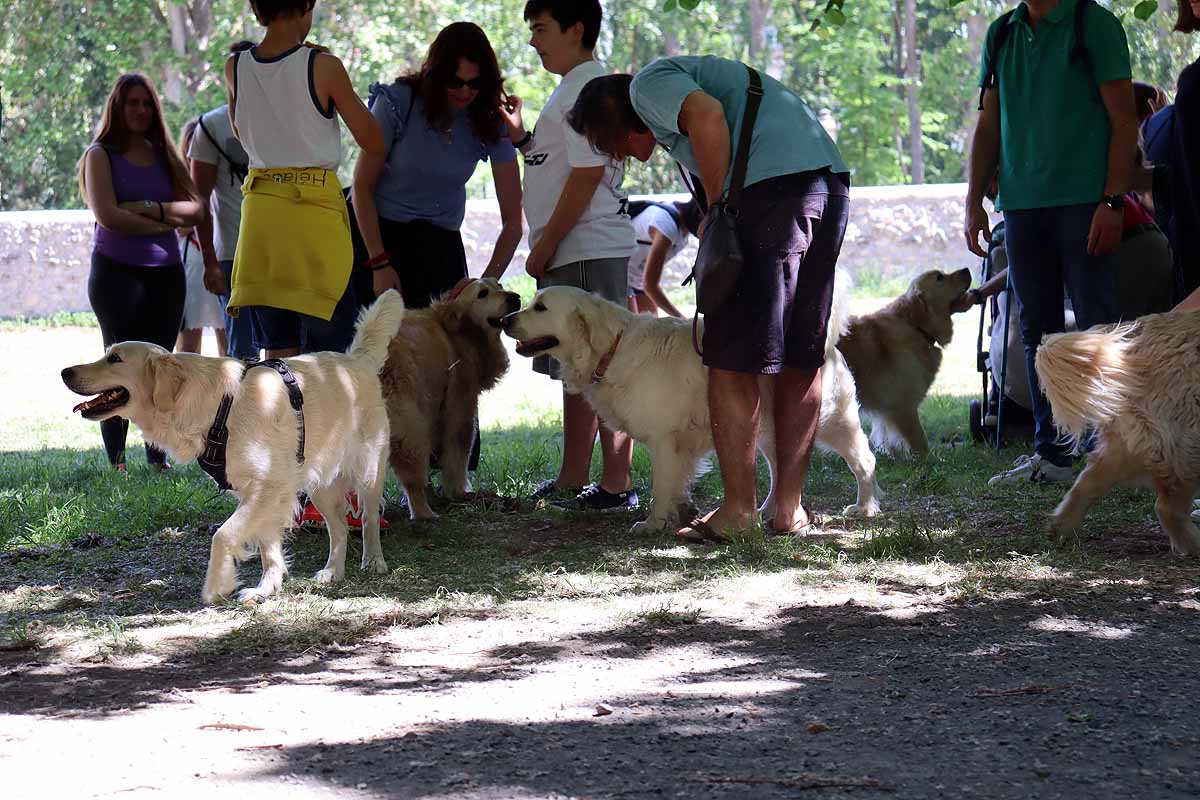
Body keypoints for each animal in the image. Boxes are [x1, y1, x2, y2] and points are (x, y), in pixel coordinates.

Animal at [381, 278, 518, 522]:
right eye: (482, 294)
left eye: (500, 285)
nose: (515, 297)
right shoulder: (460, 405)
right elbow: (458, 451)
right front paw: (460, 491)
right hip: (409, 427)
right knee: (412, 475)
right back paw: (424, 513)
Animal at [840, 268, 969, 455]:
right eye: (939, 277)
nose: (967, 270)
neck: (915, 326)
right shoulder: (903, 404)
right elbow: (920, 441)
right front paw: (928, 459)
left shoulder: (886, 410)